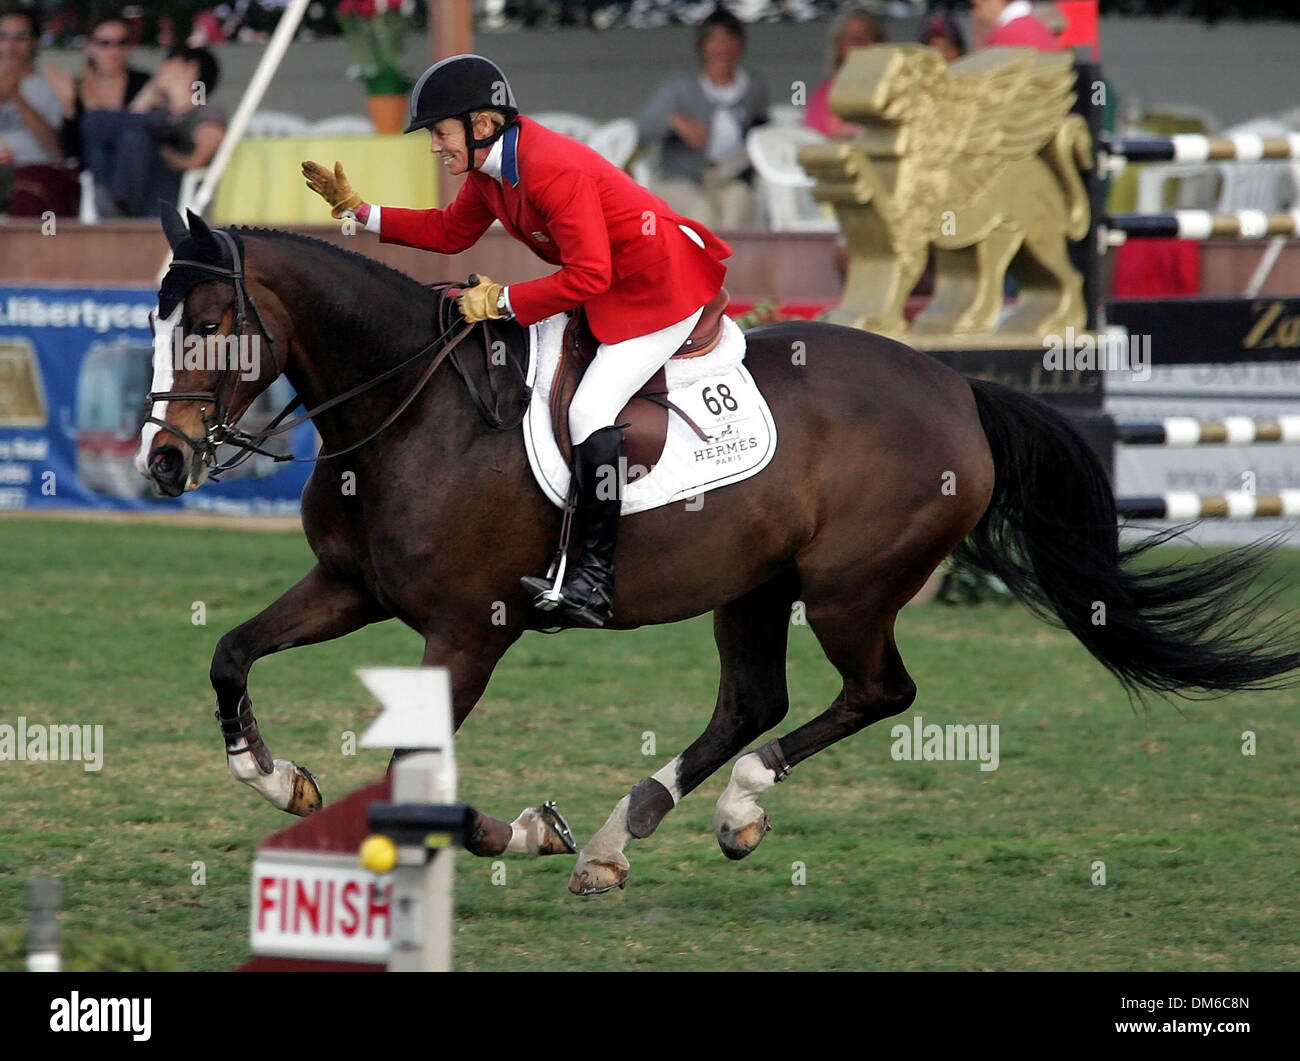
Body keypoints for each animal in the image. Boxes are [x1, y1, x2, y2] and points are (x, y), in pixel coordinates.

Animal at [139, 210, 1300, 895]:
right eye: (156, 320)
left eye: (213, 319)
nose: (162, 460)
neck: (409, 408)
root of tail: (957, 385)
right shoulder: (351, 587)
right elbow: (231, 654)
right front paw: (279, 778)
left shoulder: (469, 630)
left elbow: (411, 769)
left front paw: (526, 830)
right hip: (755, 584)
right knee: (751, 701)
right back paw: (625, 832)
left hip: (846, 588)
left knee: (873, 692)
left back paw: (723, 810)